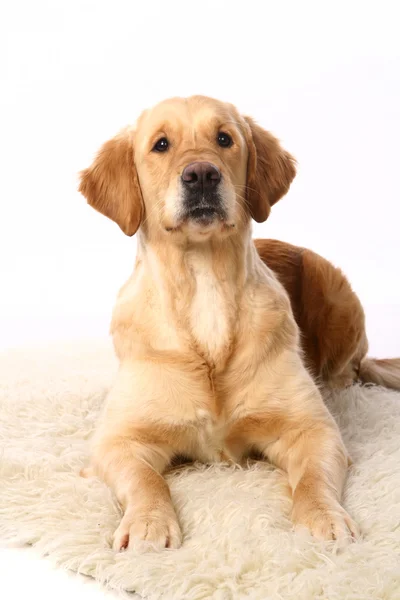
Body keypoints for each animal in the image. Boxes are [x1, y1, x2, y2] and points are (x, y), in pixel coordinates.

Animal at [79, 95, 398, 552]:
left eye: (224, 139)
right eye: (161, 144)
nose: (201, 174)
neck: (205, 288)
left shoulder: (312, 429)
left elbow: (312, 478)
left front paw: (324, 519)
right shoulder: (118, 440)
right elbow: (146, 479)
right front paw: (148, 524)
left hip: (335, 289)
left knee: (350, 369)